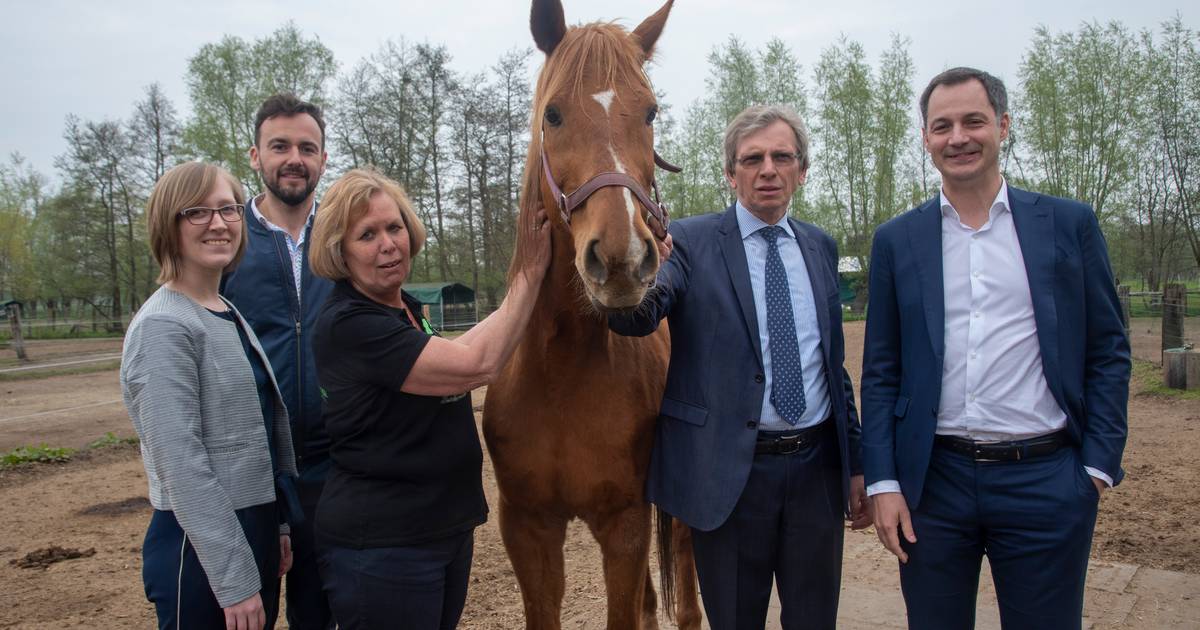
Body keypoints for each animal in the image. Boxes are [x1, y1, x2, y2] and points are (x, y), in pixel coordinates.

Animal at [482, 1, 700, 628]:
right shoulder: (528, 530)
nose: (623, 259)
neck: (561, 371)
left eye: (650, 112)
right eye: (553, 114)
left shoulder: (623, 523)